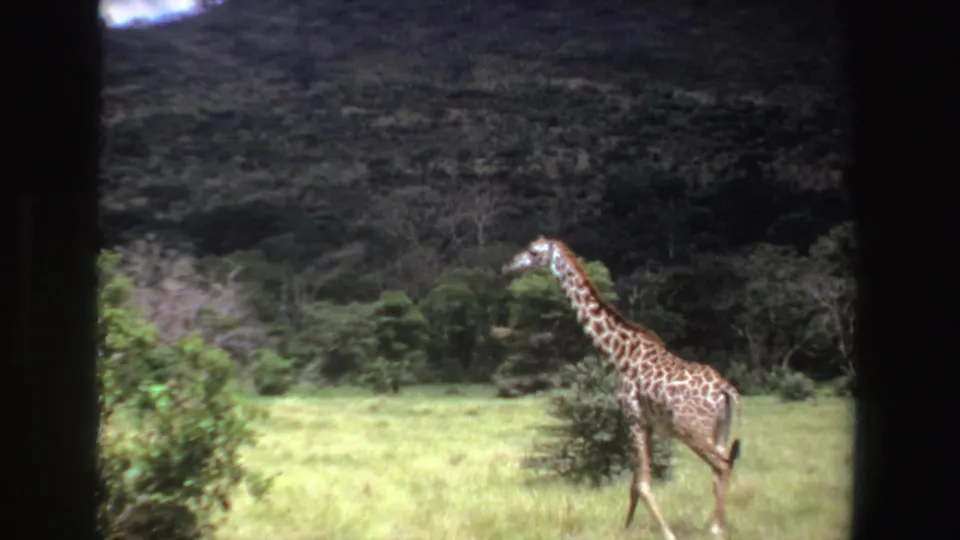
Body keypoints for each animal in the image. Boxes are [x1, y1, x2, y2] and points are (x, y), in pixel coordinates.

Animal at [503, 235, 742, 540]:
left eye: (534, 252)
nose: (511, 265)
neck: (619, 353)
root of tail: (727, 391)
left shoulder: (634, 417)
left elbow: (642, 483)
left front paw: (667, 533)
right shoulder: (646, 423)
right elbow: (635, 483)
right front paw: (626, 528)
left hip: (692, 429)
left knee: (722, 465)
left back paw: (717, 528)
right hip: (719, 429)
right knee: (721, 467)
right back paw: (717, 526)